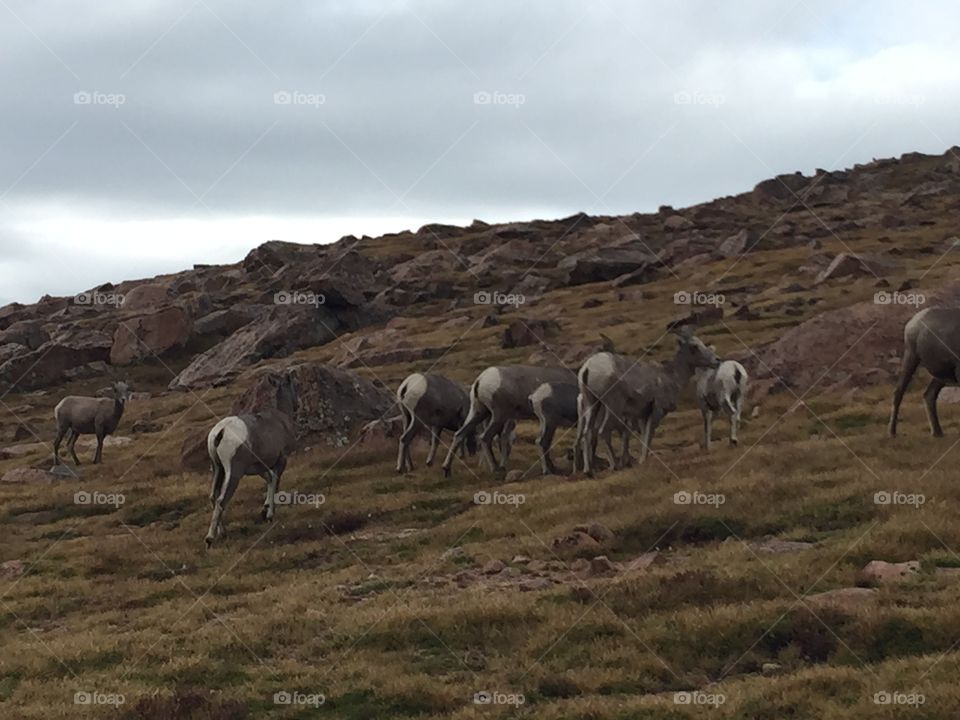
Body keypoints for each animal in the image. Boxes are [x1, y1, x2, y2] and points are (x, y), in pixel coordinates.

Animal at [205, 371, 298, 548]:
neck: (281, 417)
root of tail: (221, 431)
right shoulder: (281, 460)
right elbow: (275, 482)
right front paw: (269, 514)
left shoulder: (260, 467)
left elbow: (269, 481)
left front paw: (265, 509)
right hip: (233, 473)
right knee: (221, 500)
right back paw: (210, 539)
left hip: (217, 469)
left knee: (213, 496)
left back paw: (222, 533)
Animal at [442, 365, 576, 477]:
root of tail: (480, 380)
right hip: (499, 417)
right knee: (485, 437)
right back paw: (496, 469)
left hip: (479, 413)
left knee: (459, 435)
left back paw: (446, 469)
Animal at [577, 326, 719, 475]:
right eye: (694, 346)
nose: (717, 360)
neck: (670, 376)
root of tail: (588, 368)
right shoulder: (657, 411)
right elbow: (649, 435)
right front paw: (642, 461)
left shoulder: (643, 415)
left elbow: (644, 436)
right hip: (612, 407)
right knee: (603, 431)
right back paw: (615, 465)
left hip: (591, 405)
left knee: (587, 433)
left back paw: (589, 471)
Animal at [889, 307, 960, 437]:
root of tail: (913, 321)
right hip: (911, 358)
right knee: (899, 392)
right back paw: (892, 433)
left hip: (939, 377)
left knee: (929, 395)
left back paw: (937, 432)